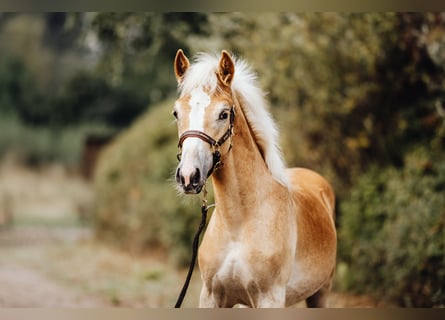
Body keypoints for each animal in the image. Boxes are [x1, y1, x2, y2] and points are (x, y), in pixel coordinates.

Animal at [172, 49, 334, 308]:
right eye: (176, 113)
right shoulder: (211, 297)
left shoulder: (270, 298)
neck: (239, 225)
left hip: (321, 293)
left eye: (223, 114)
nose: (188, 176)